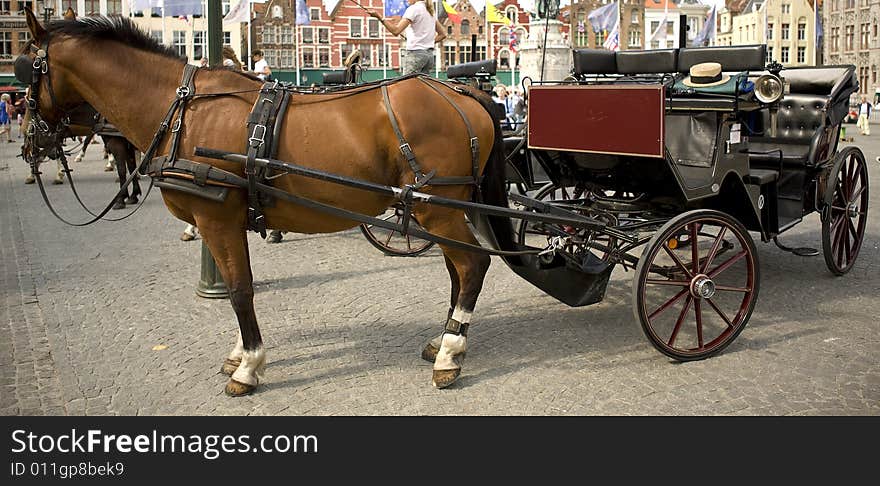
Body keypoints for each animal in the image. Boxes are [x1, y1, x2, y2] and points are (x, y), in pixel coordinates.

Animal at [17, 11, 516, 394]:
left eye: (26, 72)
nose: (28, 144)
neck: (182, 114)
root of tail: (464, 93)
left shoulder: (216, 217)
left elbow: (239, 290)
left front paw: (248, 367)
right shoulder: (224, 221)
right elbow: (239, 284)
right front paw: (239, 352)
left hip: (437, 208)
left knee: (472, 265)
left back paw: (449, 355)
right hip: (441, 210)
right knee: (458, 270)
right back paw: (443, 338)